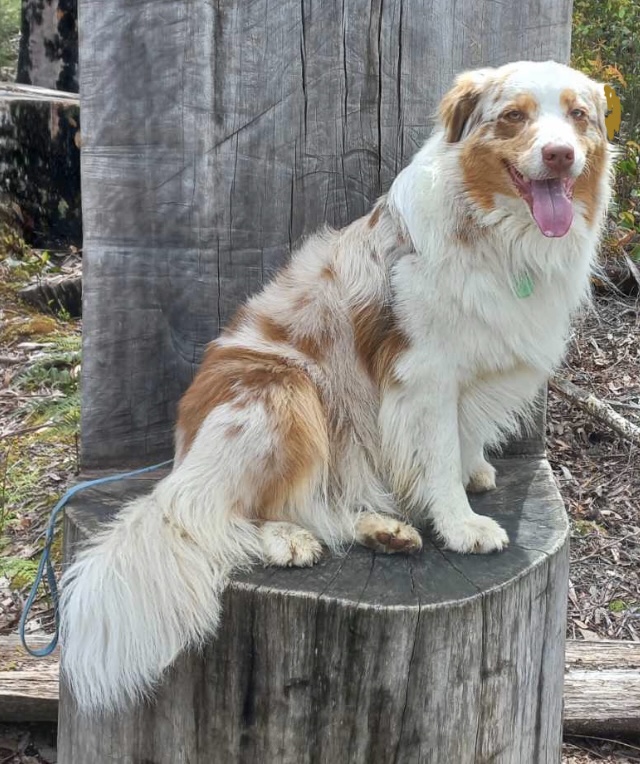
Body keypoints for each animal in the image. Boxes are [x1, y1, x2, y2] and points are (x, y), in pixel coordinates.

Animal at [60, 60, 612, 712]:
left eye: (578, 116)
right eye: (513, 117)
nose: (559, 155)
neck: (499, 232)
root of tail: (183, 444)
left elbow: (462, 437)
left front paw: (473, 468)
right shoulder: (425, 374)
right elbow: (437, 457)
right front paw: (461, 524)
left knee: (320, 499)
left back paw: (382, 530)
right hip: (284, 396)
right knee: (207, 512)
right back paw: (286, 541)